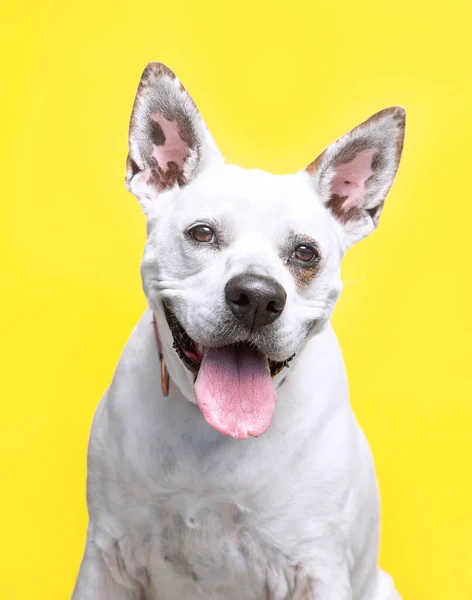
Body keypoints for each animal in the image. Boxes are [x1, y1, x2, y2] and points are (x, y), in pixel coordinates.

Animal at [73, 62, 406, 600]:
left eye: (305, 252)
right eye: (202, 233)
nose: (257, 298)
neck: (208, 433)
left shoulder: (315, 567)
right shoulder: (107, 557)